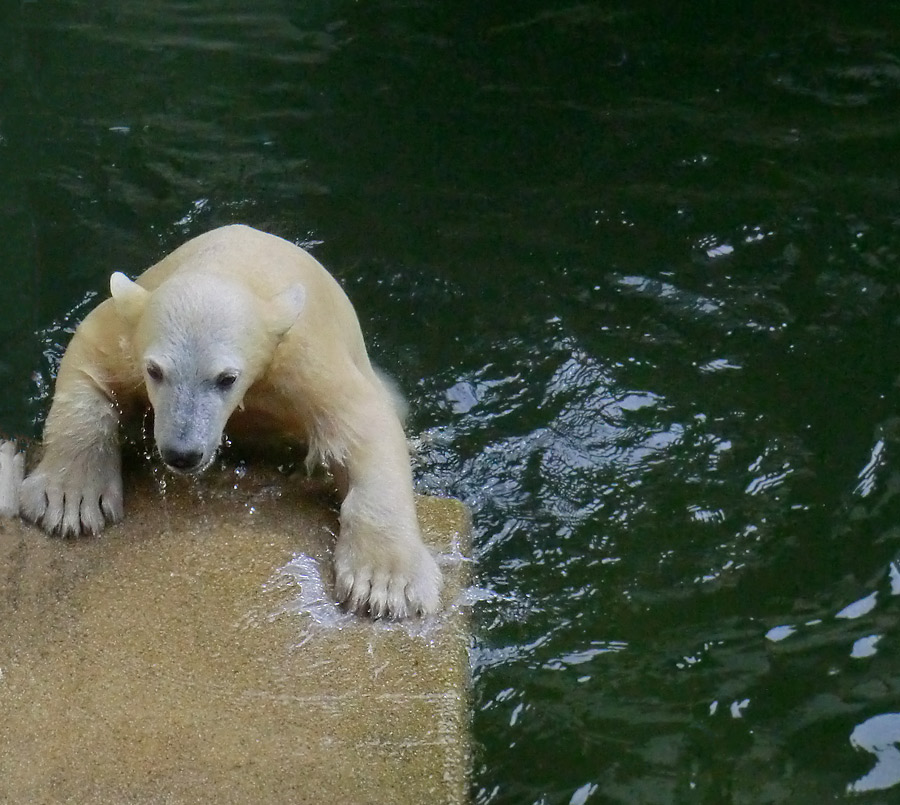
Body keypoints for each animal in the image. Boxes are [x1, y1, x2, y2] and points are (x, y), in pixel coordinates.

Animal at [14, 223, 442, 620]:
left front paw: (385, 584)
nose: (182, 453)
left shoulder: (301, 357)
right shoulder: (129, 334)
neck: (231, 265)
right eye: (155, 371)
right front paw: (69, 500)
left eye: (226, 378)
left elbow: (362, 422)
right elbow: (89, 358)